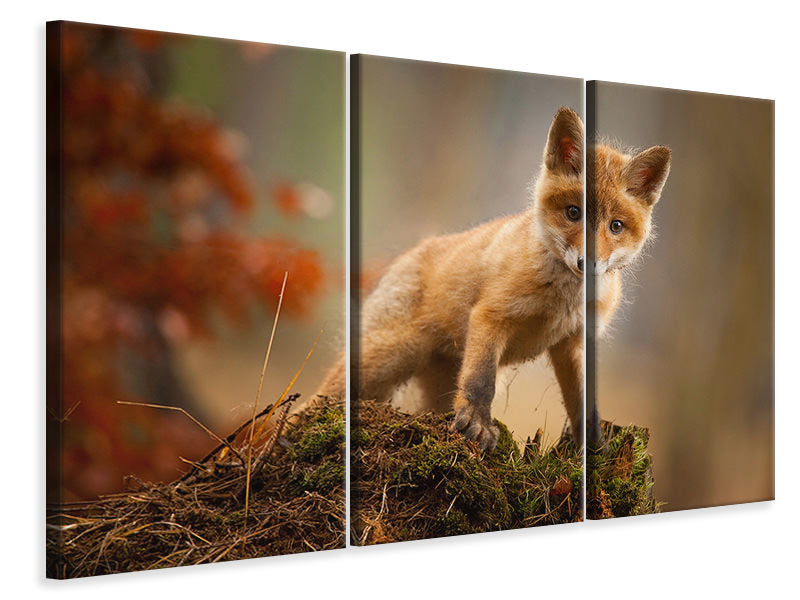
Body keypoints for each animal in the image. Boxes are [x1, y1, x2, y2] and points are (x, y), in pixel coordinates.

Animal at [318, 106, 671, 452]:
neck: (562, 301)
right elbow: (481, 380)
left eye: (616, 226)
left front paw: (594, 446)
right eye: (573, 213)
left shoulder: (574, 341)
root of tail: (409, 253)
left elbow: (584, 402)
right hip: (387, 356)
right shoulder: (492, 315)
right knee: (324, 393)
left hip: (434, 383)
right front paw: (478, 424)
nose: (589, 264)